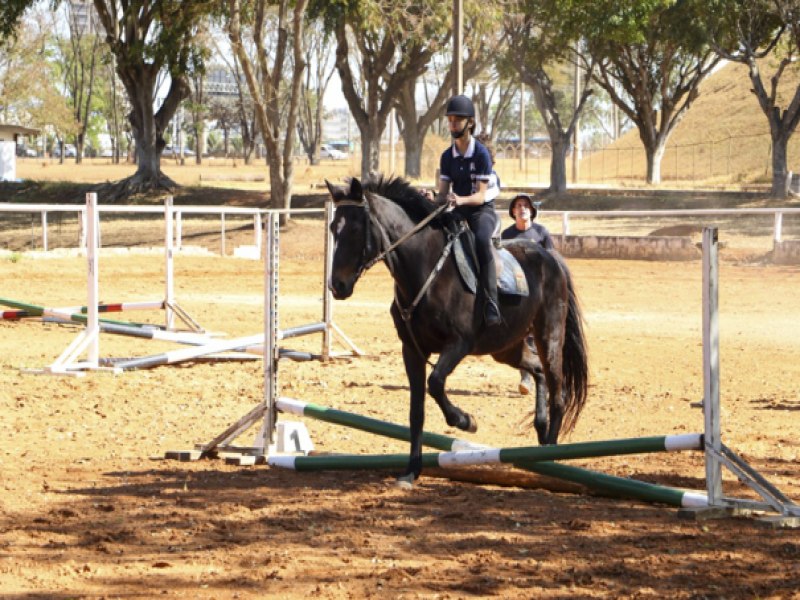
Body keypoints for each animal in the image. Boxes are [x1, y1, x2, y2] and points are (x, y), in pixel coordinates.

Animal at [324, 175, 588, 482]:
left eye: (356, 228)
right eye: (333, 227)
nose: (337, 286)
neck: (425, 270)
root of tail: (550, 257)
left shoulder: (459, 344)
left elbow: (436, 383)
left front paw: (466, 421)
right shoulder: (411, 350)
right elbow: (417, 411)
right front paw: (411, 471)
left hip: (549, 336)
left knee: (558, 390)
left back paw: (551, 451)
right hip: (505, 347)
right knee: (537, 371)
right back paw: (541, 430)